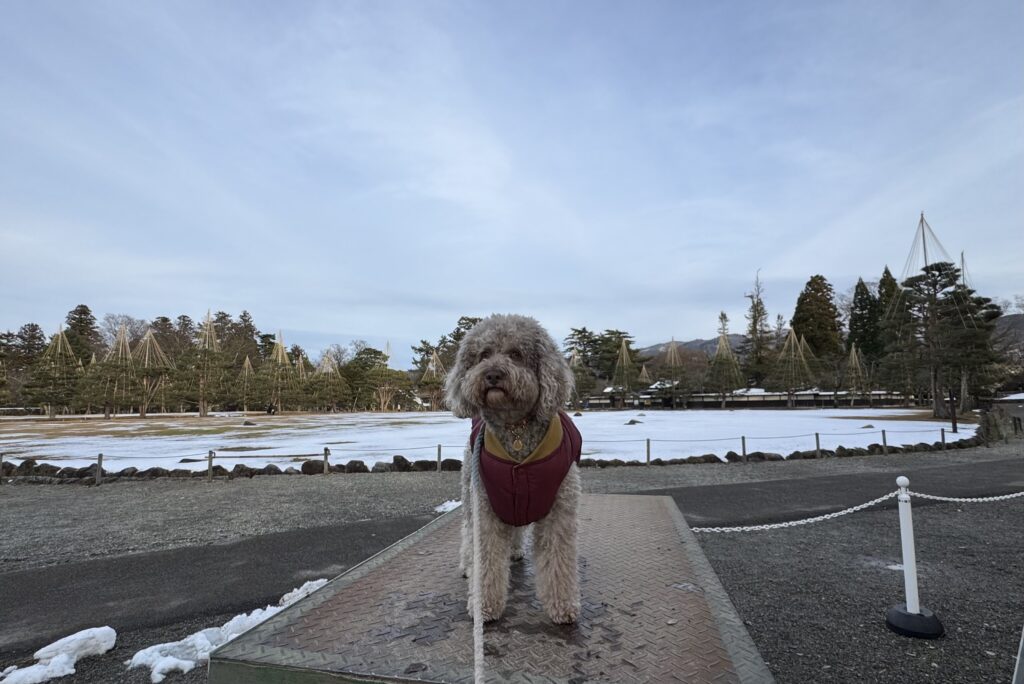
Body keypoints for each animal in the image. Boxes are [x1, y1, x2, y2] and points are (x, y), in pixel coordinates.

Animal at [444, 315, 581, 626]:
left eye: (516, 354)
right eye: (483, 355)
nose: (493, 375)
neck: (516, 428)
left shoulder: (559, 509)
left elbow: (559, 560)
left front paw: (562, 606)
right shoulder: (486, 507)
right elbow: (486, 557)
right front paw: (484, 606)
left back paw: (516, 551)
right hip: (470, 489)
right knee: (467, 532)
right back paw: (467, 564)